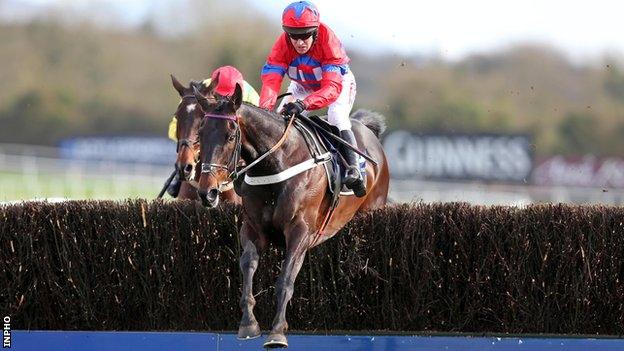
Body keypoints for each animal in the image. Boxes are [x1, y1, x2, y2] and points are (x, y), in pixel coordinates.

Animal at [195, 84, 390, 348]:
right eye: (201, 133)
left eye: (231, 136)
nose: (208, 192)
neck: (275, 164)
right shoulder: (253, 228)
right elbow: (247, 265)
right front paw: (248, 323)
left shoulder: (300, 232)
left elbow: (285, 280)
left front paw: (277, 331)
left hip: (374, 209)